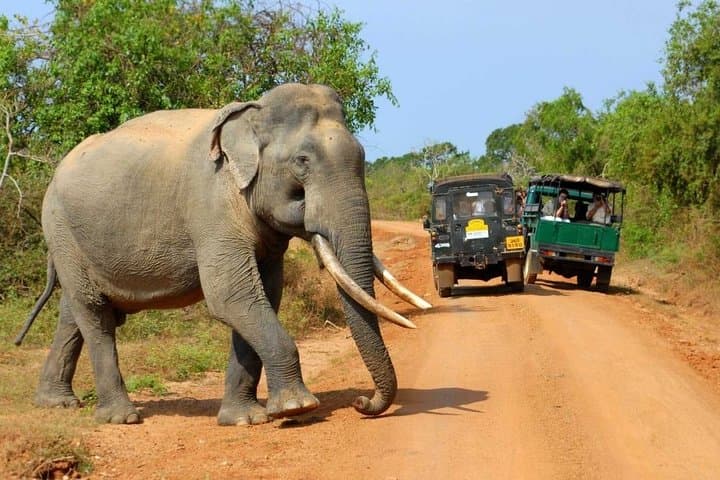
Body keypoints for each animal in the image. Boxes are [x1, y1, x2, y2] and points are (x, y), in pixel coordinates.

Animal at [15, 83, 431, 425]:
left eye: (362, 157)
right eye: (302, 161)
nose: (363, 402)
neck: (251, 115)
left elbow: (264, 295)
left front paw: (245, 419)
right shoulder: (211, 205)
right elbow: (232, 296)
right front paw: (297, 408)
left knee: (74, 311)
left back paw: (56, 403)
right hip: (60, 227)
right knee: (94, 312)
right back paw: (122, 417)